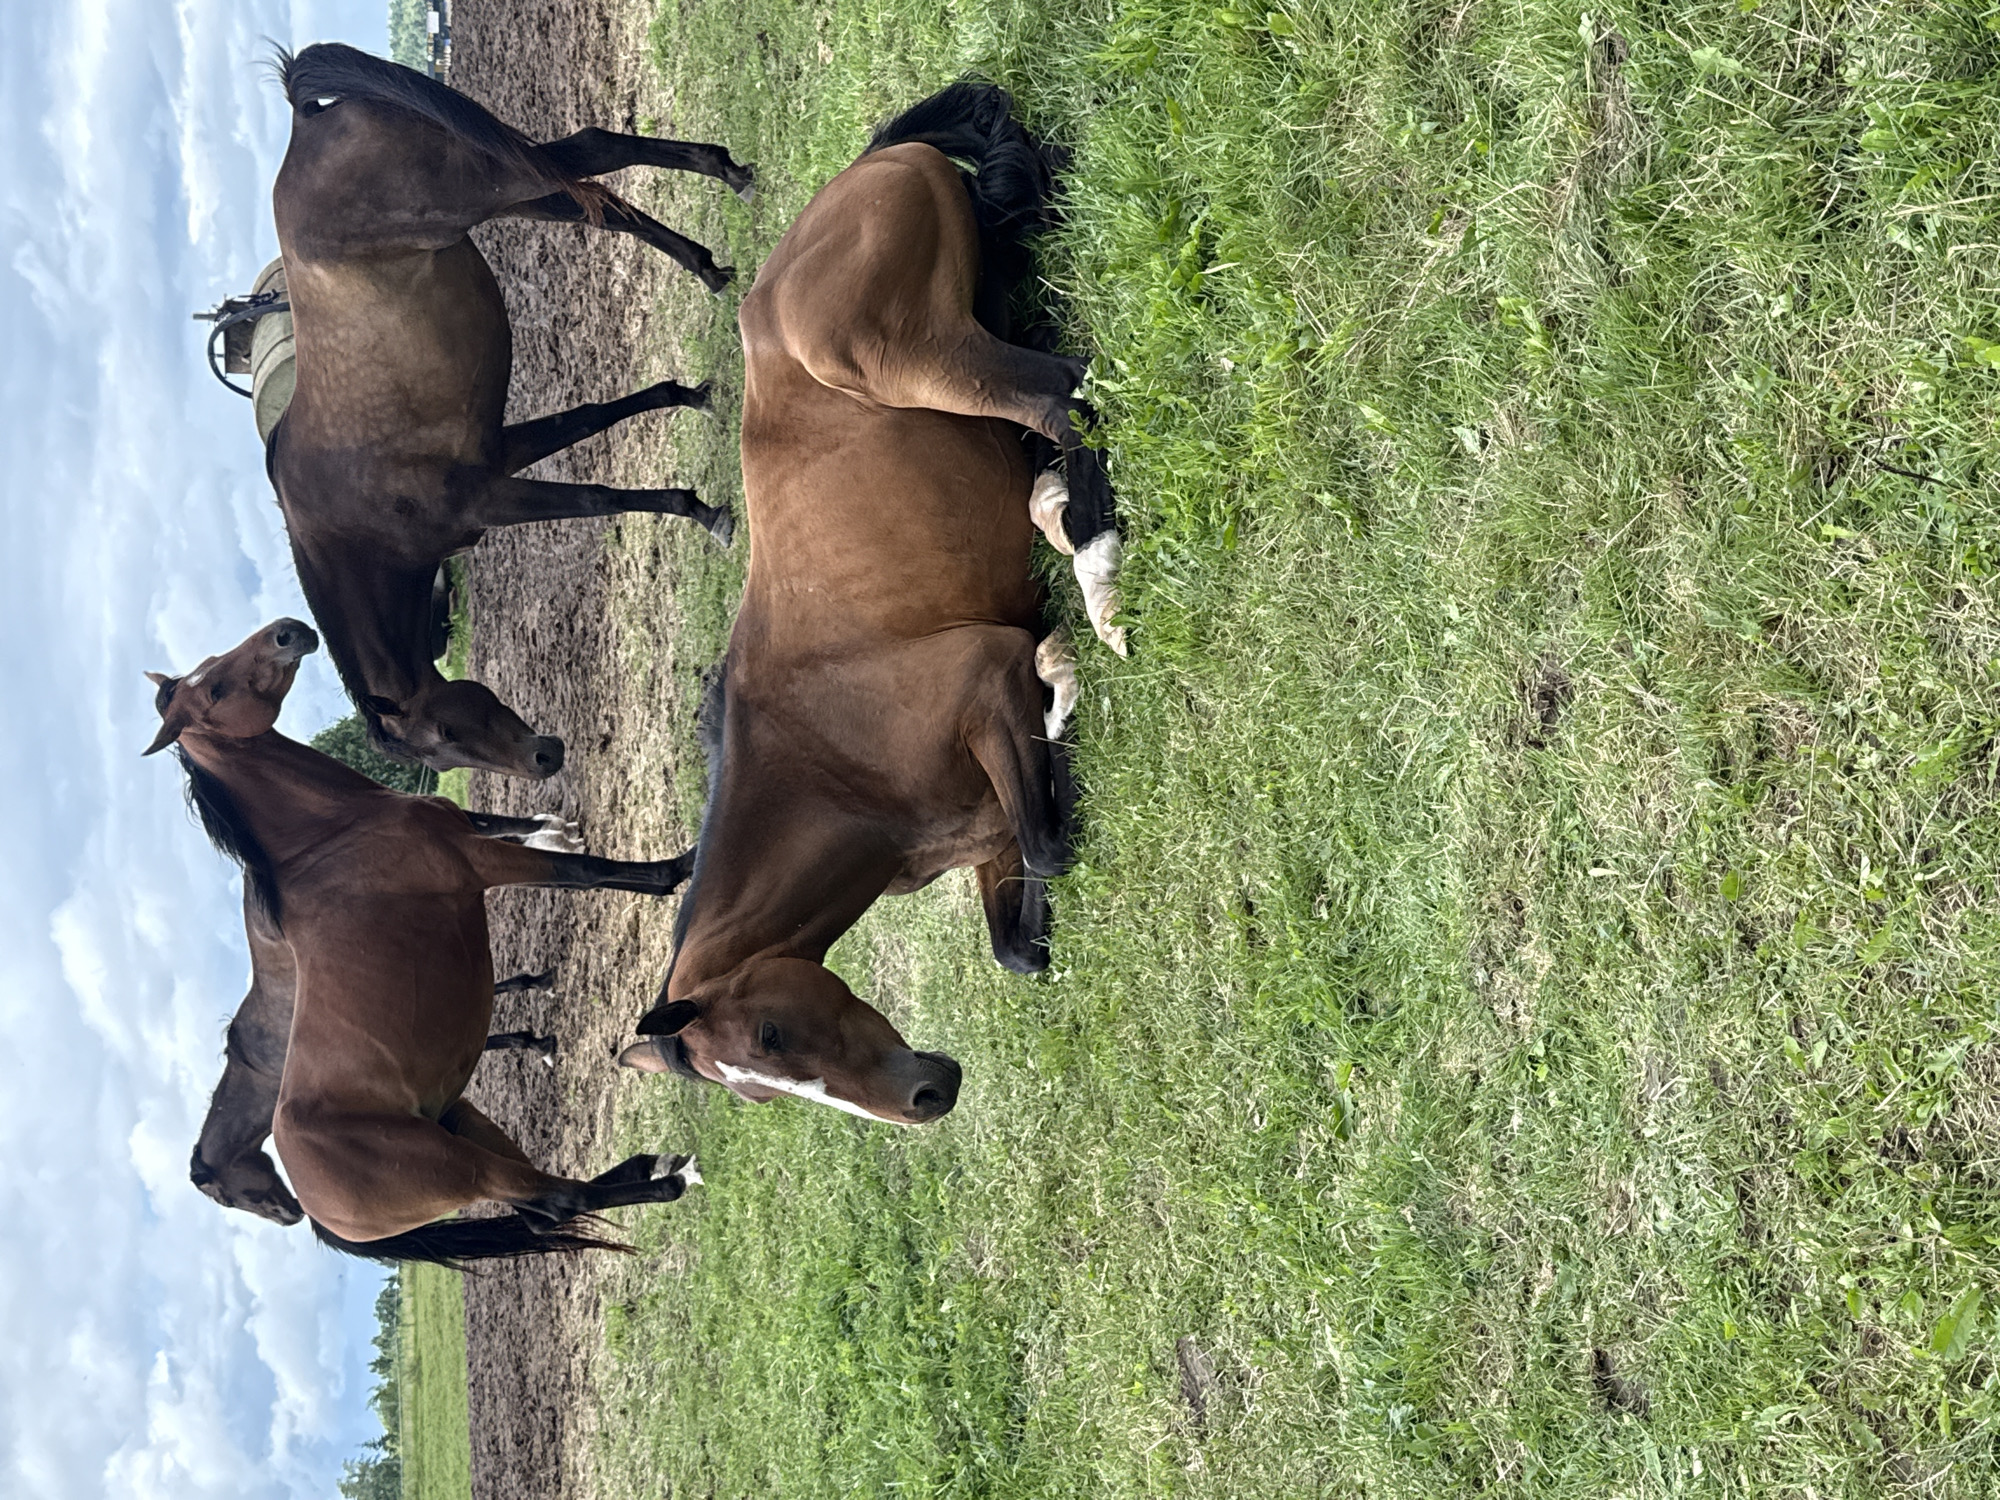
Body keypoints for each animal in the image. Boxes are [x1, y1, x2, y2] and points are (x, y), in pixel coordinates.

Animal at [267, 43, 751, 781]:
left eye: (444, 734)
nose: (543, 760)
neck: (352, 522)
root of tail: (307, 120)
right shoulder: (500, 451)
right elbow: (594, 416)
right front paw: (687, 401)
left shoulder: (489, 498)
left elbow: (597, 499)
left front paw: (705, 514)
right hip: (517, 187)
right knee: (598, 205)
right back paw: (708, 261)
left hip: (487, 182)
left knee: (596, 149)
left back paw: (726, 176)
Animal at [616, 83, 1122, 1125]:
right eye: (759, 1092)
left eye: (770, 1033)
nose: (925, 1098)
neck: (829, 761)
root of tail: (865, 164)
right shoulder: (985, 832)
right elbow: (1022, 939)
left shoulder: (983, 685)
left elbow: (1049, 842)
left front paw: (1059, 674)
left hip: (916, 358)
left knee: (1060, 398)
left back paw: (1093, 556)